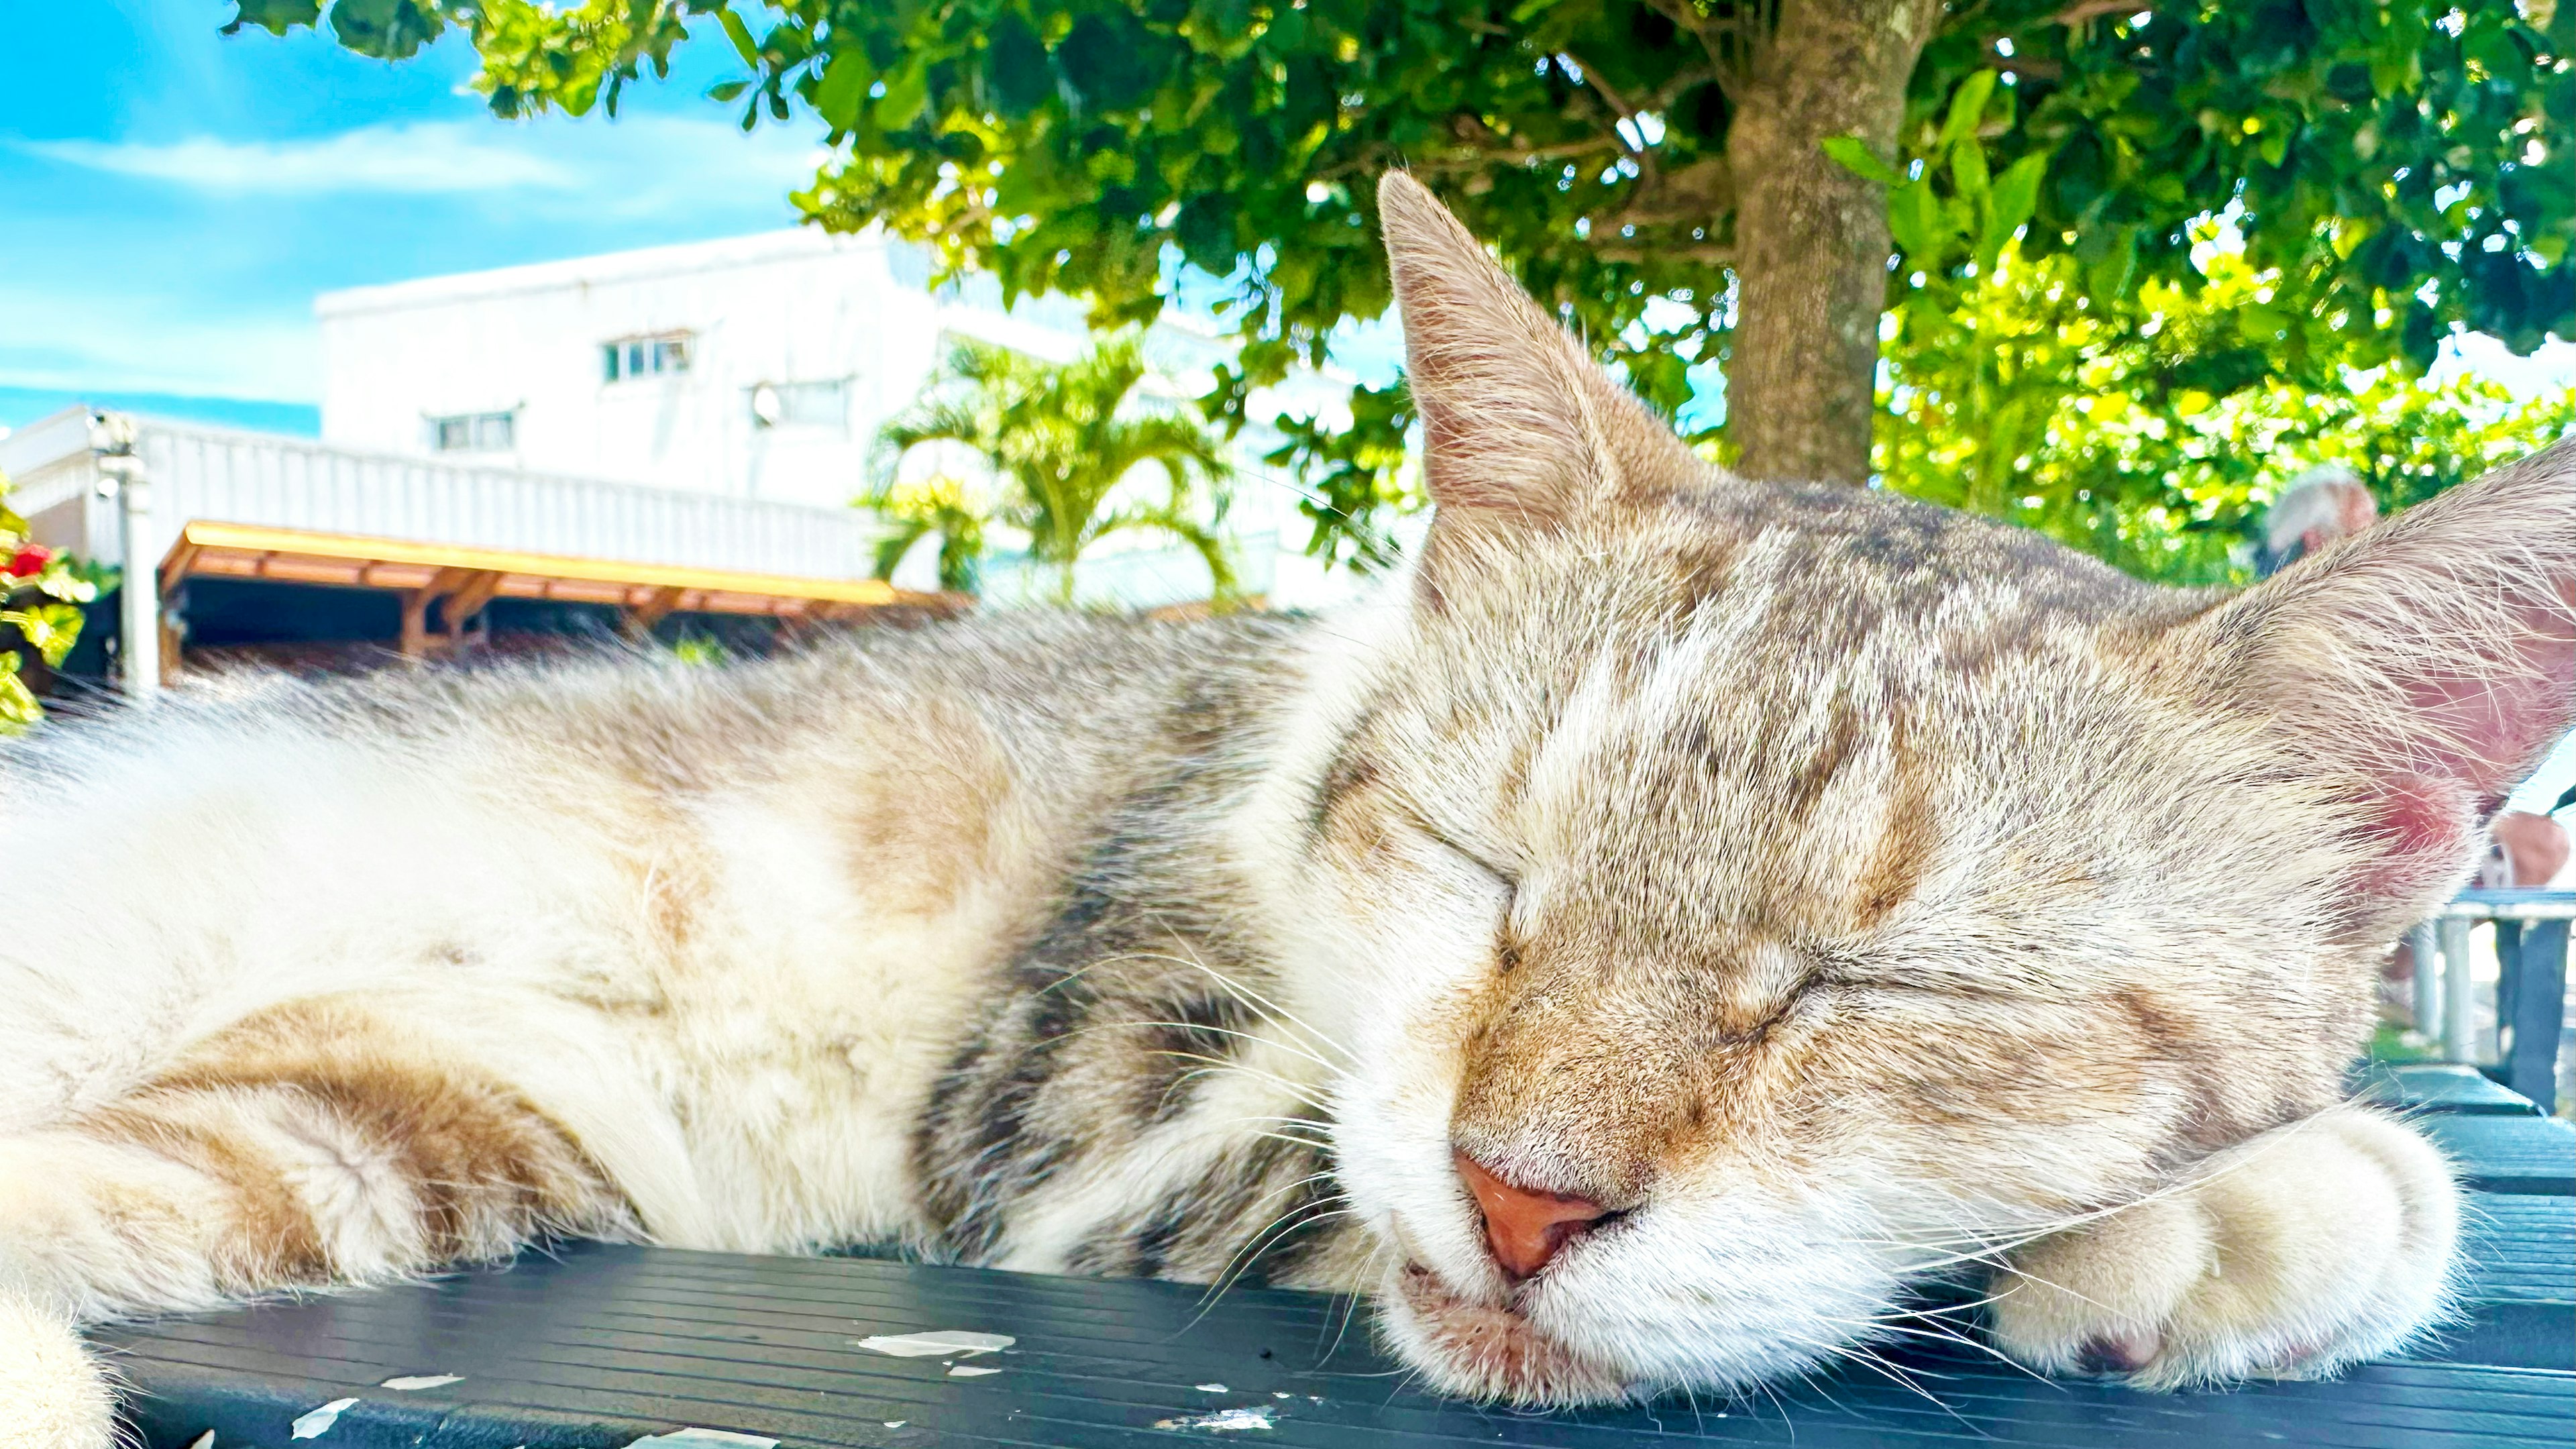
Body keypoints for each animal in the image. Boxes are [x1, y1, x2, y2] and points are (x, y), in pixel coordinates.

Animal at [5, 175, 2576, 1433]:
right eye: (1478, 859)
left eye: (1891, 987)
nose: (1523, 1203)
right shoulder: (1077, 1103)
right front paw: (2287, 1194)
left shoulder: (460, 1080)